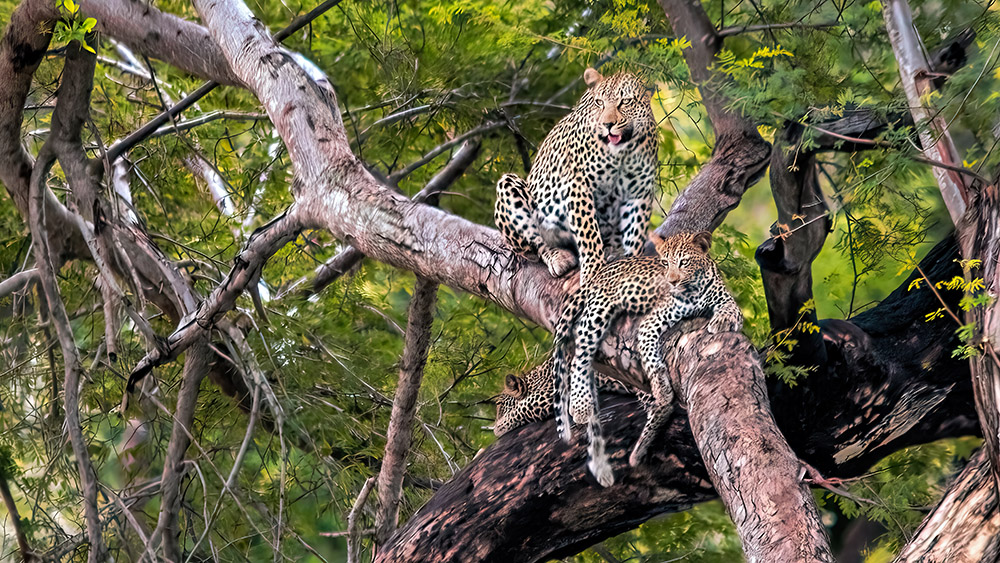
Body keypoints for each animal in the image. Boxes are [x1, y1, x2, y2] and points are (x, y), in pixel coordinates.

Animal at [496, 67, 660, 284]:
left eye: (625, 101)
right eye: (599, 102)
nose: (607, 124)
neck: (622, 152)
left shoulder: (639, 192)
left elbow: (635, 232)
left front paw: (631, 265)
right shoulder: (577, 183)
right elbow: (588, 233)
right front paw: (593, 273)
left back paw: (613, 251)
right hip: (510, 187)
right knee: (536, 243)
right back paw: (558, 256)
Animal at [552, 231, 748, 486]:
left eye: (684, 262)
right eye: (665, 263)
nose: (671, 282)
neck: (694, 289)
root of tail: (599, 274)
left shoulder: (724, 298)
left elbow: (732, 309)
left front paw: (722, 320)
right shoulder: (650, 323)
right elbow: (653, 361)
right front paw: (662, 391)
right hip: (598, 311)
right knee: (580, 356)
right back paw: (580, 406)